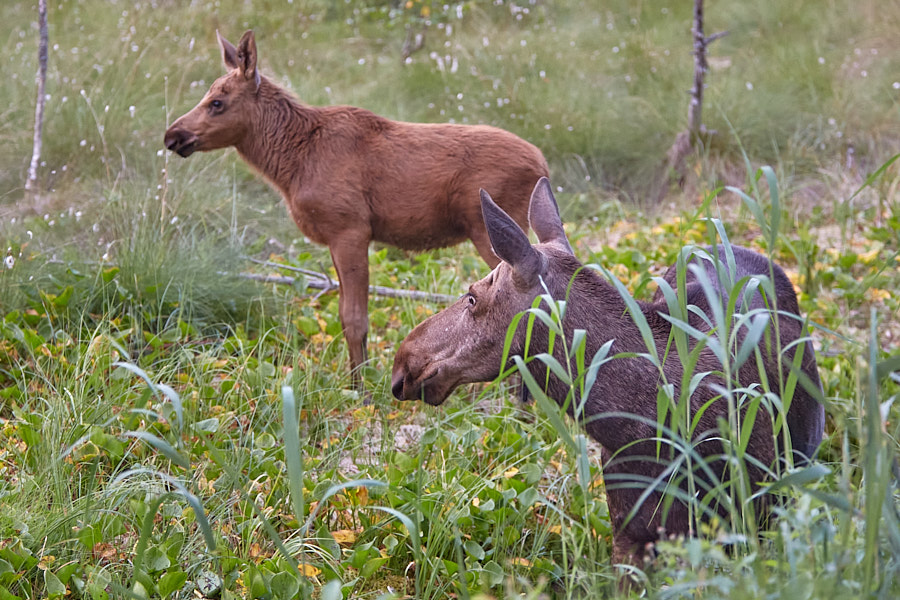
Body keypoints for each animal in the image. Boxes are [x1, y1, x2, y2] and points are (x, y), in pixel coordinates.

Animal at [163, 31, 548, 384]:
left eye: (217, 102)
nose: (173, 136)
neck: (292, 165)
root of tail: (542, 165)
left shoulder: (350, 229)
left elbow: (355, 320)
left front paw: (361, 390)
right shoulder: (337, 237)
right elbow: (345, 315)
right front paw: (354, 382)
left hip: (489, 231)